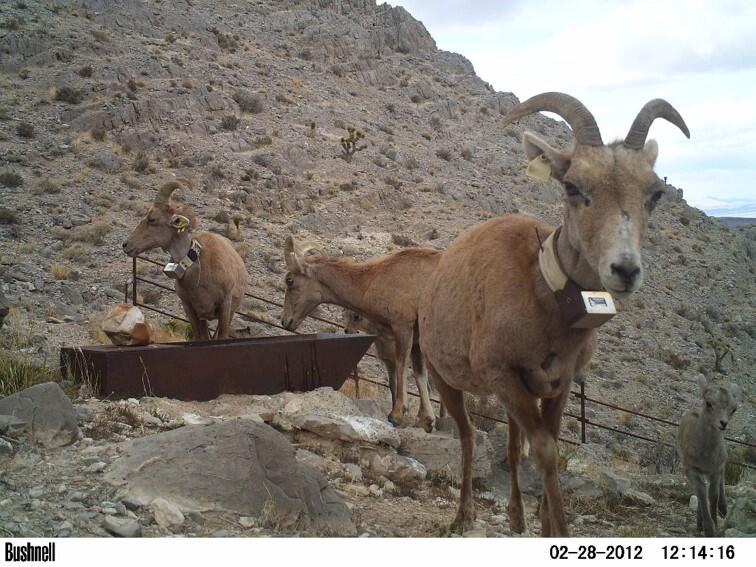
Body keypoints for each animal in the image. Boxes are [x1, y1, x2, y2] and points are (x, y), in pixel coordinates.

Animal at [281, 236, 440, 431]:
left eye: (289, 280)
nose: (285, 321)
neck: (375, 280)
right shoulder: (417, 339)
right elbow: (420, 375)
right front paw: (427, 421)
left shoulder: (403, 327)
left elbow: (402, 367)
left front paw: (396, 415)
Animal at [418, 92, 690, 536]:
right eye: (573, 186)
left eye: (655, 193)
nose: (625, 270)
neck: (542, 299)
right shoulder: (502, 373)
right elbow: (544, 451)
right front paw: (557, 530)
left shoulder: (557, 383)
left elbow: (547, 445)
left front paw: (543, 525)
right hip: (446, 379)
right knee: (469, 435)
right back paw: (463, 515)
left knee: (511, 445)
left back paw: (515, 517)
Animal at [678, 376, 741, 536]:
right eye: (709, 403)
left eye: (734, 409)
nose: (723, 423)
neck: (705, 455)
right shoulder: (692, 470)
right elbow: (701, 493)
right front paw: (708, 529)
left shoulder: (715, 469)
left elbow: (713, 495)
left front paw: (716, 526)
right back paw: (700, 522)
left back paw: (723, 509)